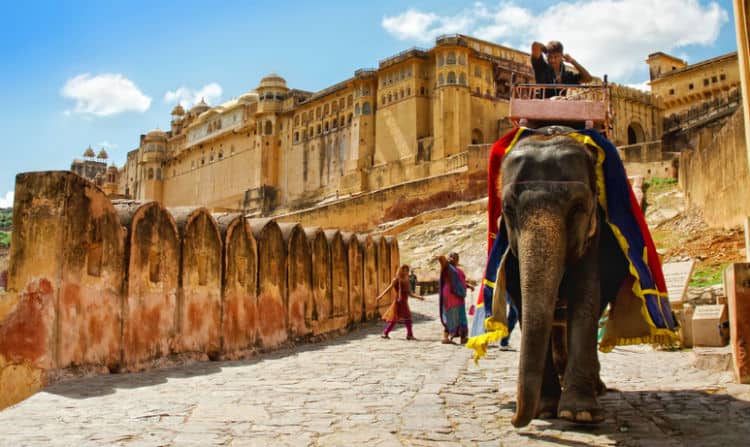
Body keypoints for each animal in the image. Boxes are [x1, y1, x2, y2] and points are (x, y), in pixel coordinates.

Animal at [500, 126, 636, 428]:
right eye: (508, 209)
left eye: (578, 208)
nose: (514, 419)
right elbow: (524, 303)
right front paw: (544, 410)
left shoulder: (594, 233)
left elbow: (585, 296)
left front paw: (579, 413)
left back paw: (596, 388)